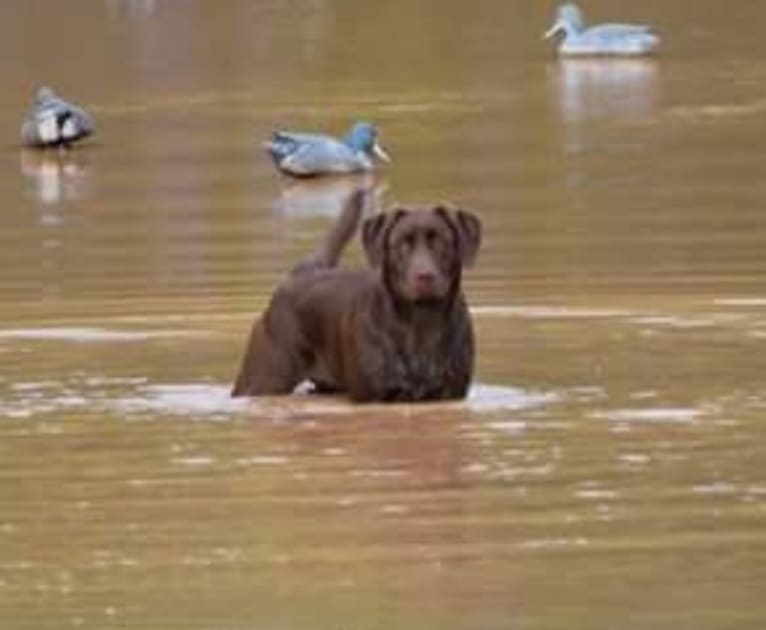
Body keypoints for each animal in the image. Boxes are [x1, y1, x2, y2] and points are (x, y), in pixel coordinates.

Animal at [234, 190, 484, 402]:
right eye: (402, 244)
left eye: (441, 243)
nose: (424, 276)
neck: (421, 323)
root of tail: (303, 271)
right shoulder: (372, 396)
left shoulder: (451, 393)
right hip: (261, 381)